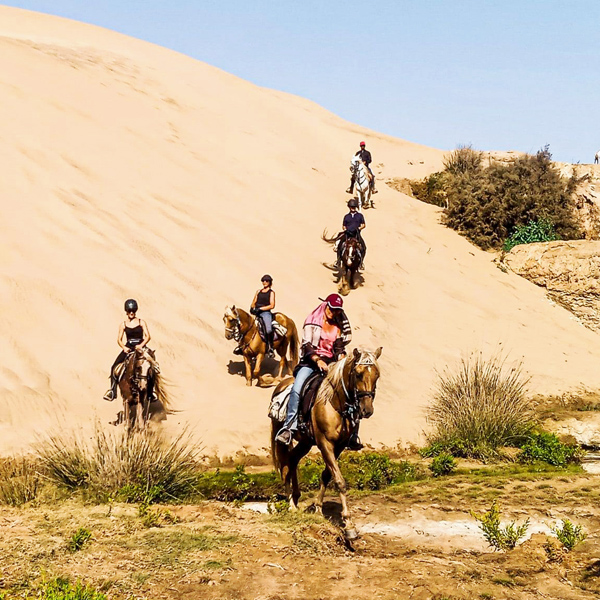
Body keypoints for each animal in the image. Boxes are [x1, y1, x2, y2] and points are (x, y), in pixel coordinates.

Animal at [270, 346, 382, 540]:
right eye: (358, 374)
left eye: (377, 375)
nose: (366, 410)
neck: (334, 403)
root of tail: (281, 384)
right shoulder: (325, 444)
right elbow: (339, 481)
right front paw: (349, 525)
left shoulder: (339, 446)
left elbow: (327, 476)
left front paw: (318, 509)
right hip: (282, 439)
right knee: (284, 466)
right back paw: (291, 504)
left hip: (306, 441)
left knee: (293, 460)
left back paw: (296, 497)